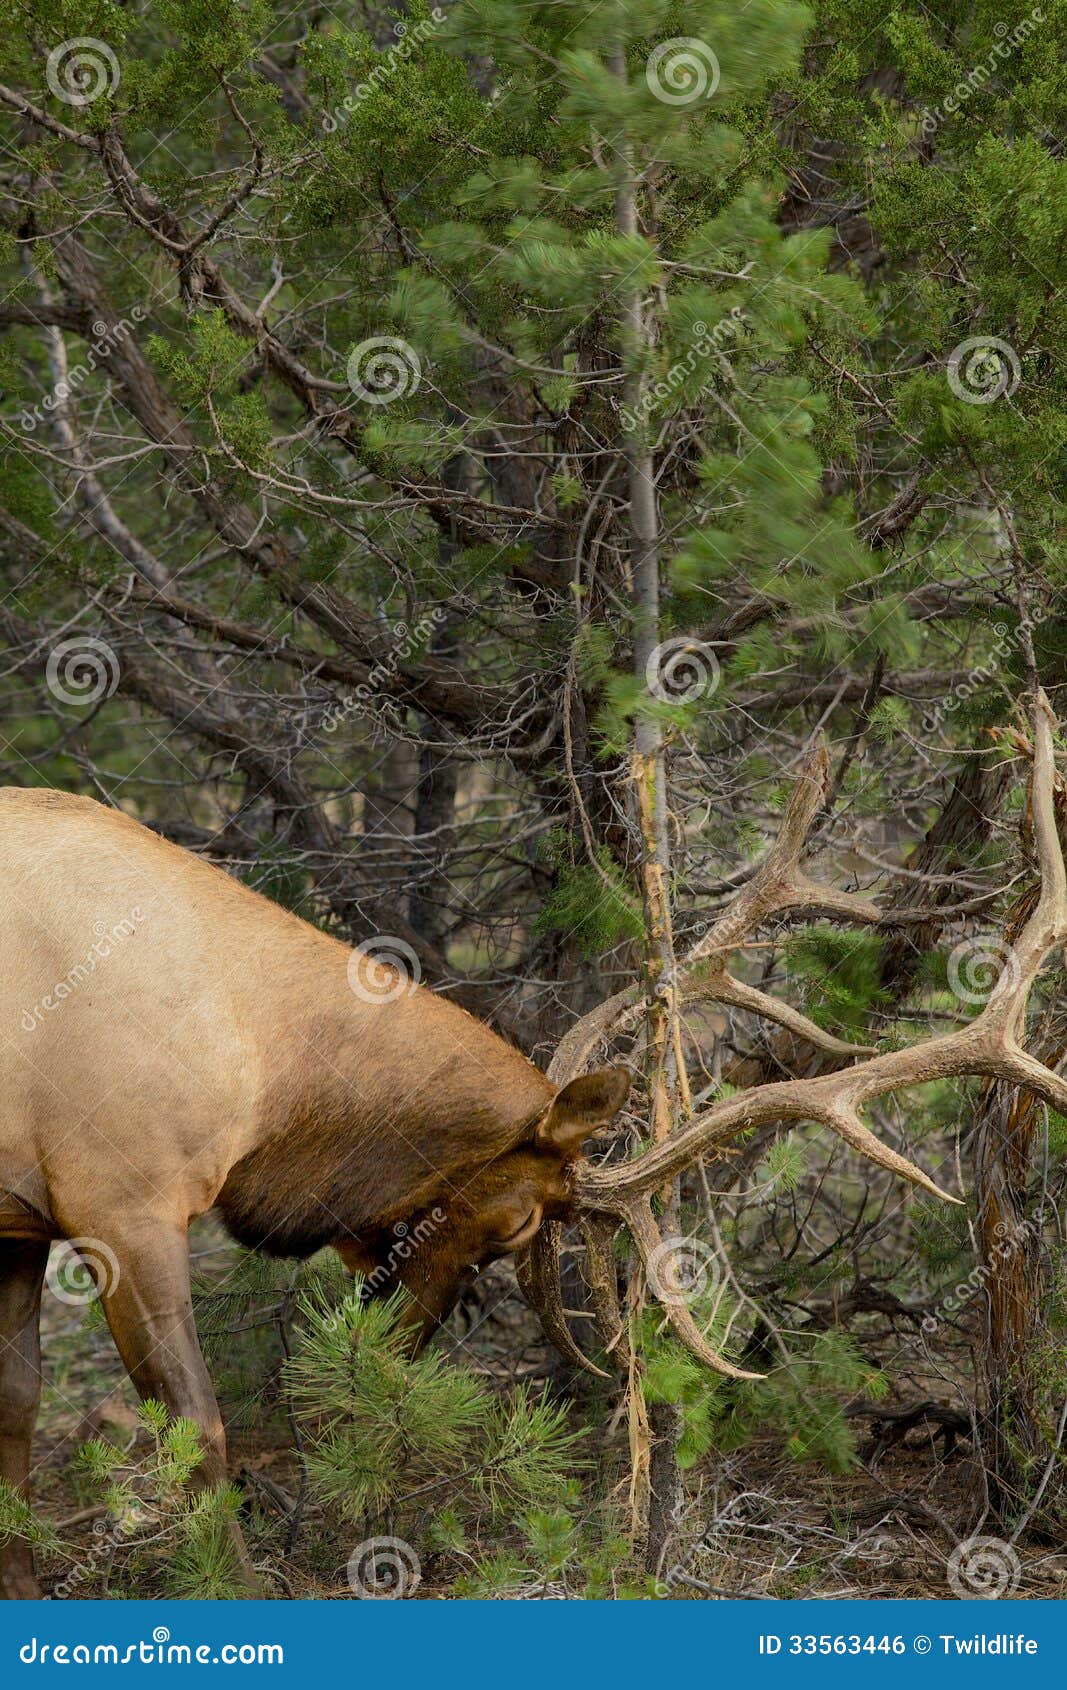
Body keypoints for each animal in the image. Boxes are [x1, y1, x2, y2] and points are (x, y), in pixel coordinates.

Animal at [2, 691, 1066, 1600]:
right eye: (516, 1226)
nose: (387, 1362)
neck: (260, 1064)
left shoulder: (20, 1225)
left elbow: (17, 1411)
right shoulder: (122, 1203)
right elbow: (199, 1427)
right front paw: (228, 1583)